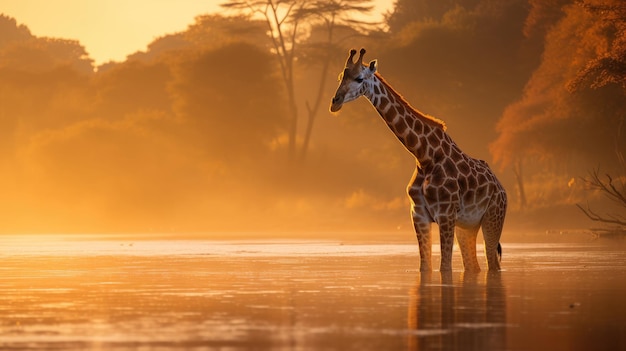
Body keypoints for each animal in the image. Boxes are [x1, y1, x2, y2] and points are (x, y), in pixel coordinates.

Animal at [330, 48, 504, 272]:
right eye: (341, 77)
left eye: (360, 78)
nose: (335, 102)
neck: (424, 156)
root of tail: (502, 189)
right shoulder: (418, 215)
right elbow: (425, 267)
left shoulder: (446, 214)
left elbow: (444, 267)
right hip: (467, 227)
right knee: (474, 265)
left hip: (492, 218)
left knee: (493, 262)